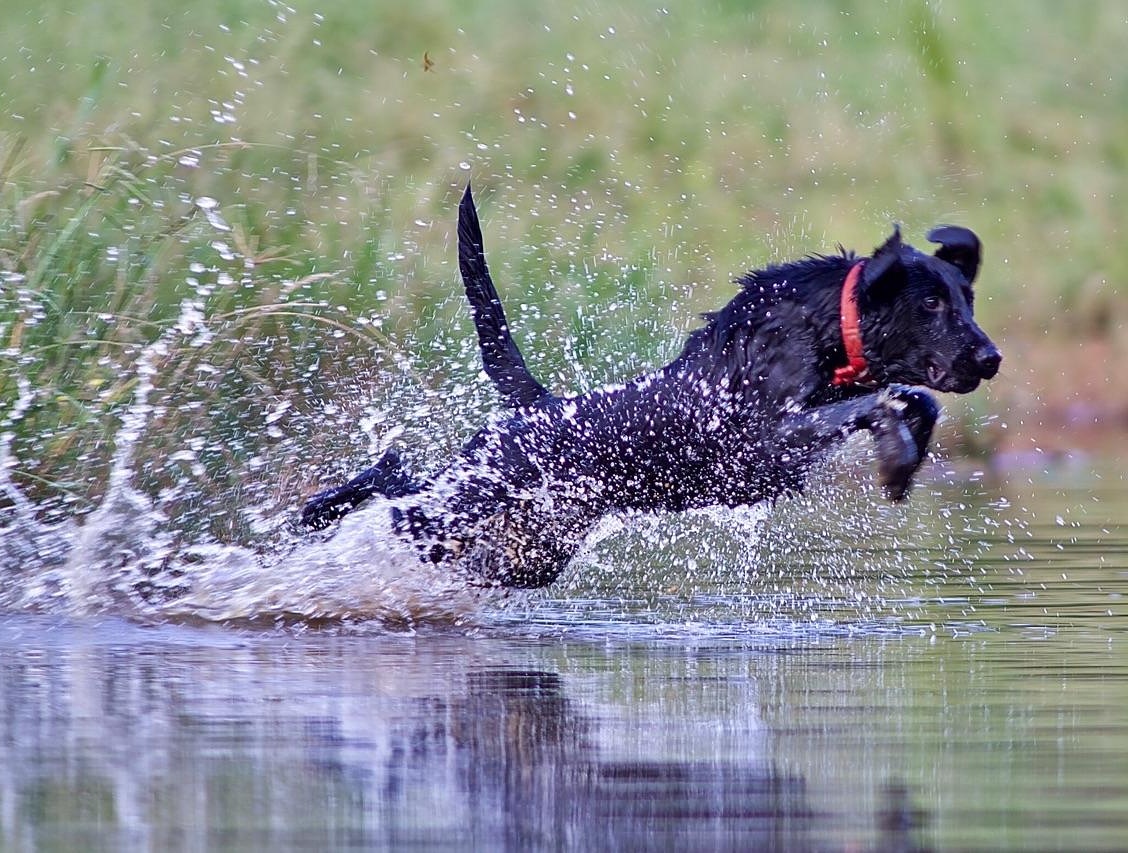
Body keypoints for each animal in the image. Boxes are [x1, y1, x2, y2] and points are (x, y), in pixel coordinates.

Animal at [304, 185, 1001, 586]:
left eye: (967, 298)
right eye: (932, 304)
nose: (991, 358)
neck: (821, 327)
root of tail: (537, 405)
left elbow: (919, 398)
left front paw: (905, 458)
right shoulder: (763, 444)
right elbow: (871, 402)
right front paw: (894, 448)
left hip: (520, 549)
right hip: (467, 499)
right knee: (395, 479)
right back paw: (313, 517)